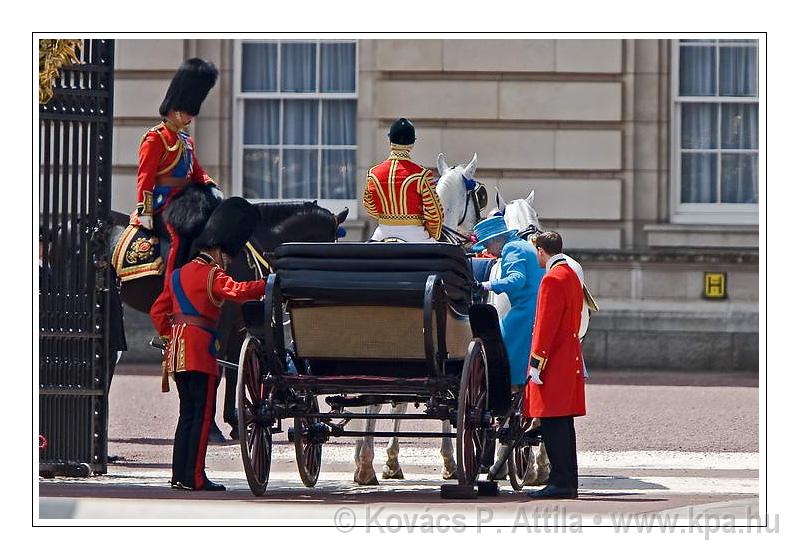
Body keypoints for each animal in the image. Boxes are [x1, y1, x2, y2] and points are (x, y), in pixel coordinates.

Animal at [354, 151, 484, 484]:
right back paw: (366, 462)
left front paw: (384, 459)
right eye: (479, 195)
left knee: (369, 394)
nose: (475, 234)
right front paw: (449, 461)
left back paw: (363, 460)